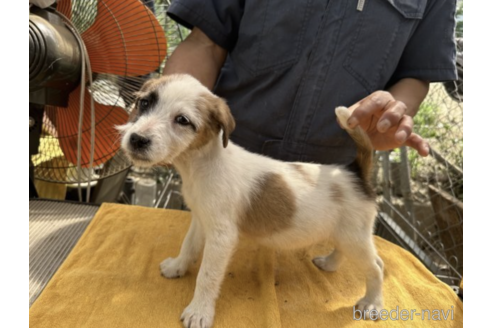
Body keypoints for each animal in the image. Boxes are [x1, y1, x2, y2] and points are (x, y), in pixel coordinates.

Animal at [118, 74, 384, 328]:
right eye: (144, 103)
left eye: (182, 120)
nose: (137, 139)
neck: (202, 164)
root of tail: (354, 172)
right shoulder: (201, 219)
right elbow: (189, 246)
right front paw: (177, 267)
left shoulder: (222, 236)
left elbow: (207, 276)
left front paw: (199, 312)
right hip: (345, 235)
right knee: (348, 253)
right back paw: (329, 263)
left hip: (354, 237)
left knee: (377, 267)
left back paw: (372, 303)